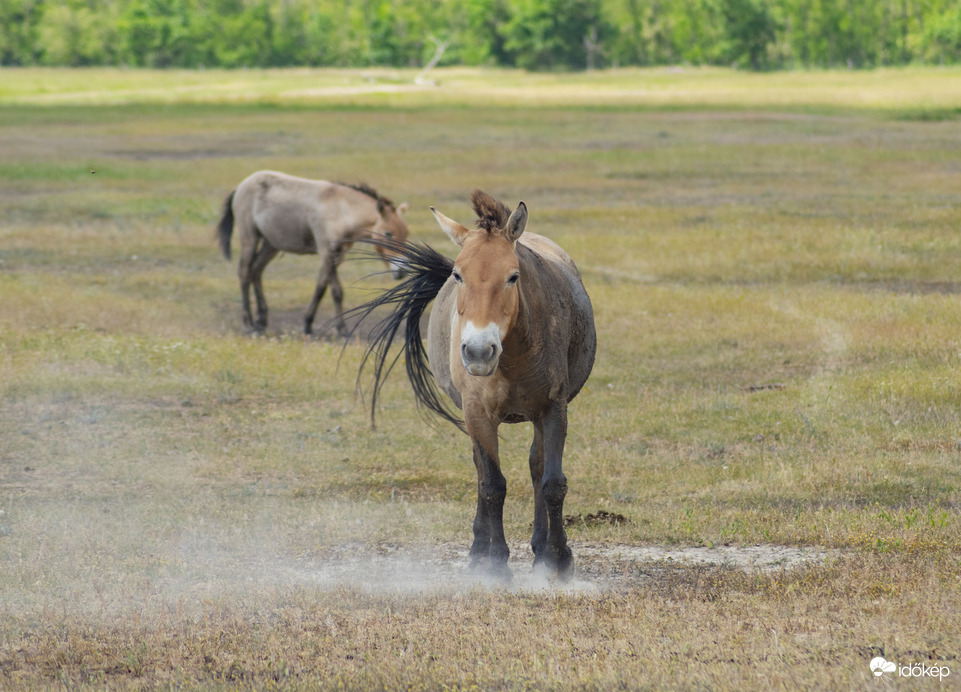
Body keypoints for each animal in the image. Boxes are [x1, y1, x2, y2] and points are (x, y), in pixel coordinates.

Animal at [218, 170, 408, 338]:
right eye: (388, 234)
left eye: (406, 234)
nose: (402, 270)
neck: (341, 209)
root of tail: (240, 186)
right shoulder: (326, 251)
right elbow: (336, 291)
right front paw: (342, 329)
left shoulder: (337, 255)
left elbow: (320, 288)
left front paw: (308, 324)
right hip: (249, 238)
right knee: (245, 273)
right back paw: (248, 324)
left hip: (271, 245)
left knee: (256, 271)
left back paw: (261, 322)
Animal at [348, 188, 596, 580]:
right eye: (458, 275)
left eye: (513, 276)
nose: (479, 351)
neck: (512, 358)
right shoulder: (477, 413)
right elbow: (492, 484)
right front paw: (494, 563)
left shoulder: (553, 408)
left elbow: (552, 483)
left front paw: (558, 560)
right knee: (483, 470)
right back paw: (480, 549)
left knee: (536, 467)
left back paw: (540, 548)